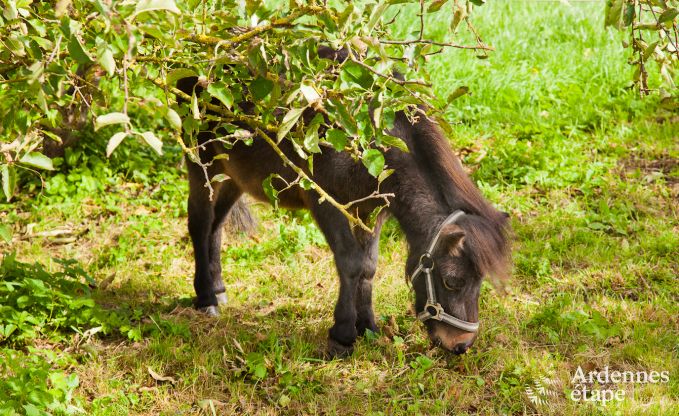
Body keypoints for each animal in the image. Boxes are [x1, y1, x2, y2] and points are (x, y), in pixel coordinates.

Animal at [177, 73, 510, 356]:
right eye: (453, 281)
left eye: (480, 282)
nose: (461, 345)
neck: (368, 139)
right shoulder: (326, 203)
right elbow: (351, 263)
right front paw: (343, 334)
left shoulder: (371, 211)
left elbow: (369, 266)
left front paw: (368, 326)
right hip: (201, 164)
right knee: (200, 224)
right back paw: (206, 298)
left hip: (233, 176)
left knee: (216, 227)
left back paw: (218, 288)